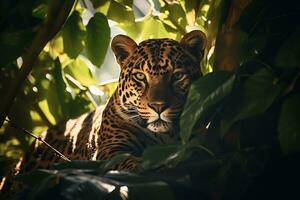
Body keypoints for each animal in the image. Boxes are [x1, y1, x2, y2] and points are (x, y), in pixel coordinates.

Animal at [0, 29, 206, 195]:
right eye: (140, 77)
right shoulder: (109, 150)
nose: (158, 106)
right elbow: (127, 163)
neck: (164, 136)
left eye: (177, 76)